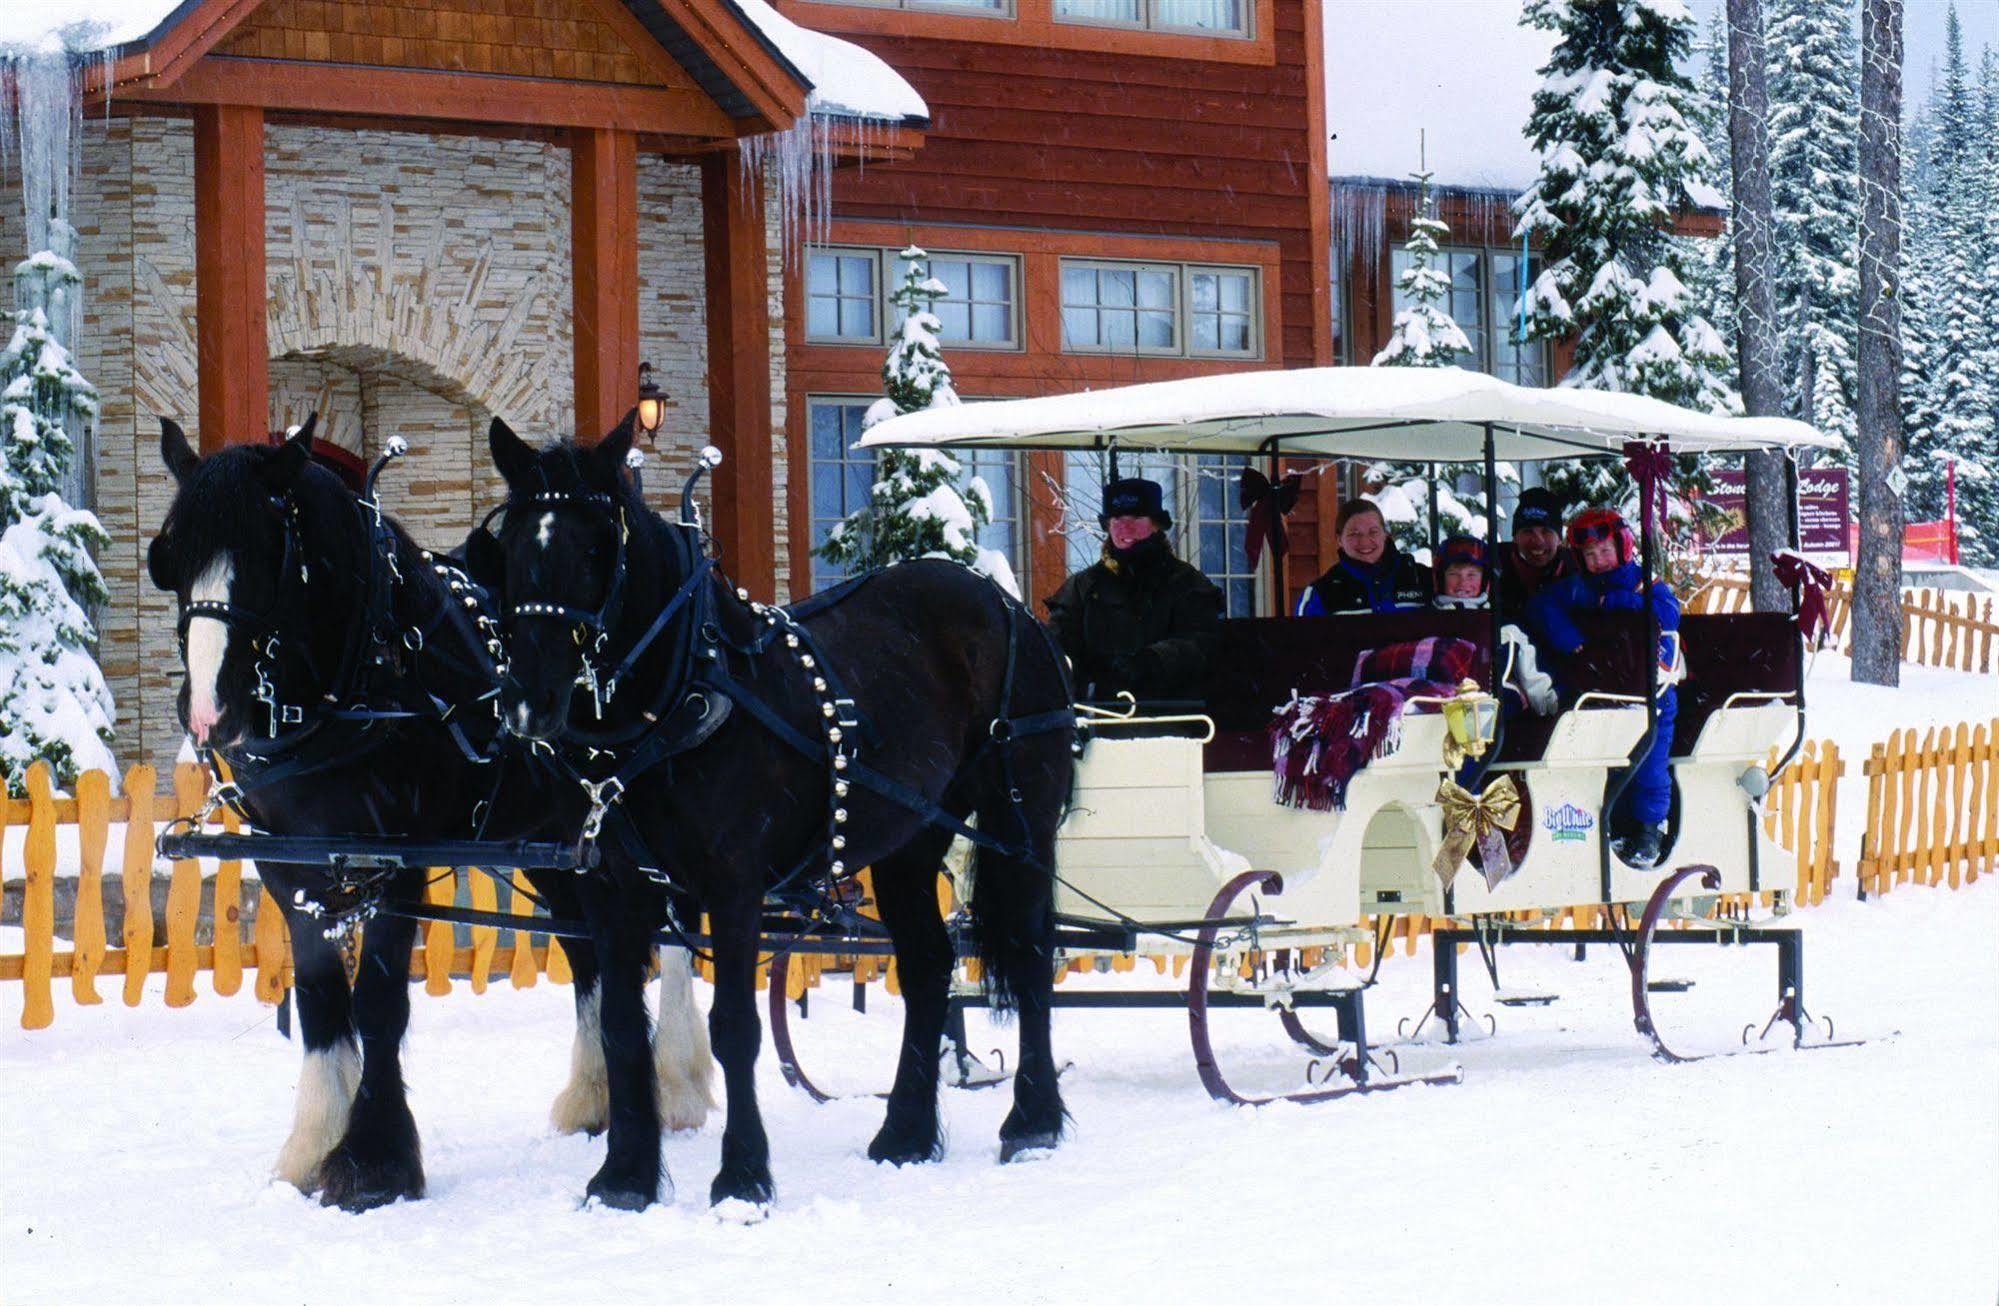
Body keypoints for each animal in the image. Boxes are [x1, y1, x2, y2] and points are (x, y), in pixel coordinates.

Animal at [147, 422, 715, 1208]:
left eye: (265, 550)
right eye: (172, 556)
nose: (208, 713)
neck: (365, 677)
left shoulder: (399, 859)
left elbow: (380, 1002)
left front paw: (373, 1159)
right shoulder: (289, 861)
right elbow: (322, 1002)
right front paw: (314, 1143)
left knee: (670, 932)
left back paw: (680, 1083)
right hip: (555, 842)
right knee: (587, 948)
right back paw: (592, 1093)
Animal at [477, 418, 1079, 1216]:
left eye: (595, 547)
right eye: (513, 545)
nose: (528, 703)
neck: (680, 699)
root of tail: (1002, 601)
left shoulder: (734, 887)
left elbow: (735, 1027)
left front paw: (741, 1178)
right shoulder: (613, 892)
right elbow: (620, 1027)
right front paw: (624, 1178)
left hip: (1019, 825)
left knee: (1034, 952)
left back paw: (1032, 1121)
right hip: (911, 840)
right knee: (927, 966)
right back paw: (905, 1133)